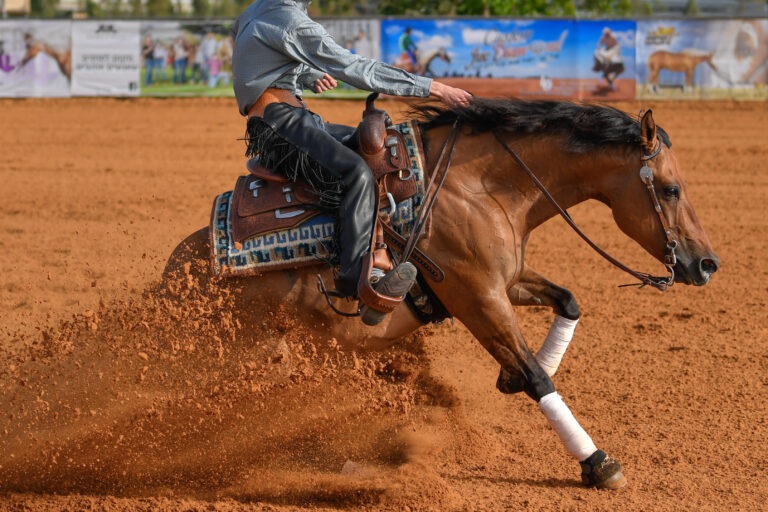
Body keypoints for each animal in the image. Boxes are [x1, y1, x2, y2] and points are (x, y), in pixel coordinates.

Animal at [164, 98, 719, 489]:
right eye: (670, 189)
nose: (707, 263)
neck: (481, 187)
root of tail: (172, 276)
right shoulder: (477, 296)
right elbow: (538, 378)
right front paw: (597, 463)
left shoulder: (505, 281)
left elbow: (568, 301)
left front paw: (510, 376)